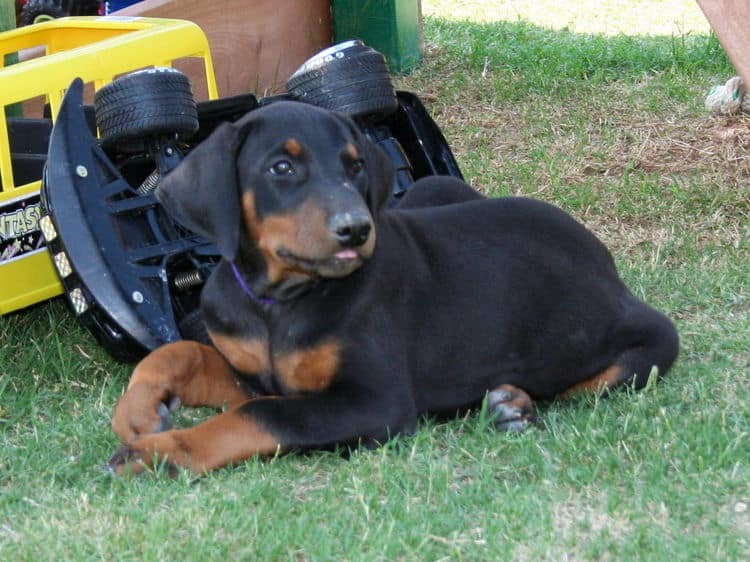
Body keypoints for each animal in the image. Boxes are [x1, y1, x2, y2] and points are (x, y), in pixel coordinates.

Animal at [110, 99, 680, 472]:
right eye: (282, 166)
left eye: (355, 165)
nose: (355, 228)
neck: (280, 302)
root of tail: (606, 264)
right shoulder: (254, 371)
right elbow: (177, 353)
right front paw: (139, 413)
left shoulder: (374, 402)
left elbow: (259, 416)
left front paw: (162, 452)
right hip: (434, 186)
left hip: (650, 343)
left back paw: (516, 402)